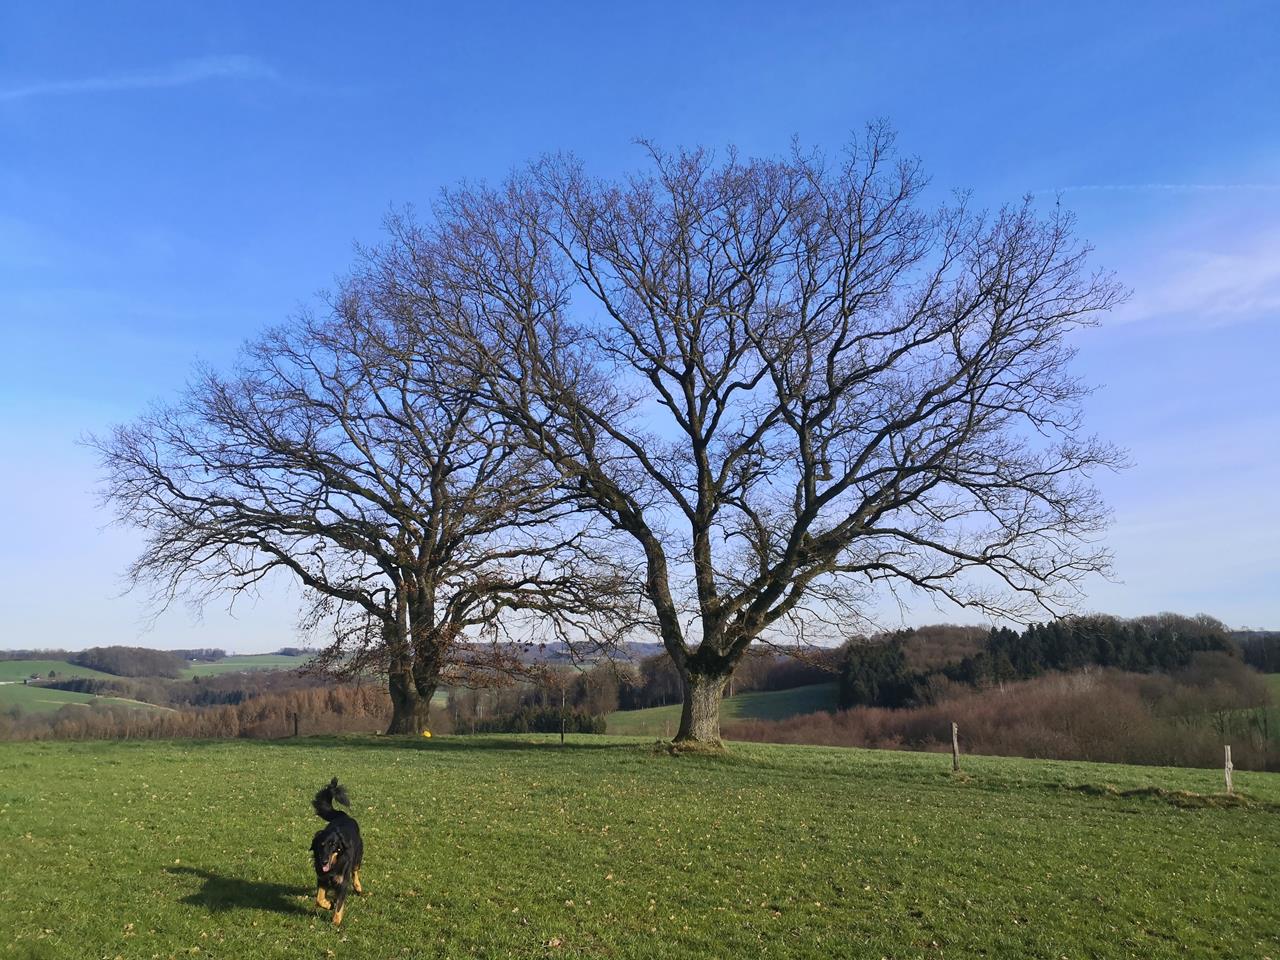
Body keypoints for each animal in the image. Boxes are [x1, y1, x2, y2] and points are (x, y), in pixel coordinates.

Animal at [310, 777, 364, 924]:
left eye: (333, 845)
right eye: (321, 845)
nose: (324, 861)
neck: (334, 864)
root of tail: (343, 815)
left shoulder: (342, 882)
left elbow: (340, 903)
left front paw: (336, 921)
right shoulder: (322, 879)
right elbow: (320, 899)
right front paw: (329, 904)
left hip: (358, 856)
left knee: (355, 871)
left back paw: (358, 887)